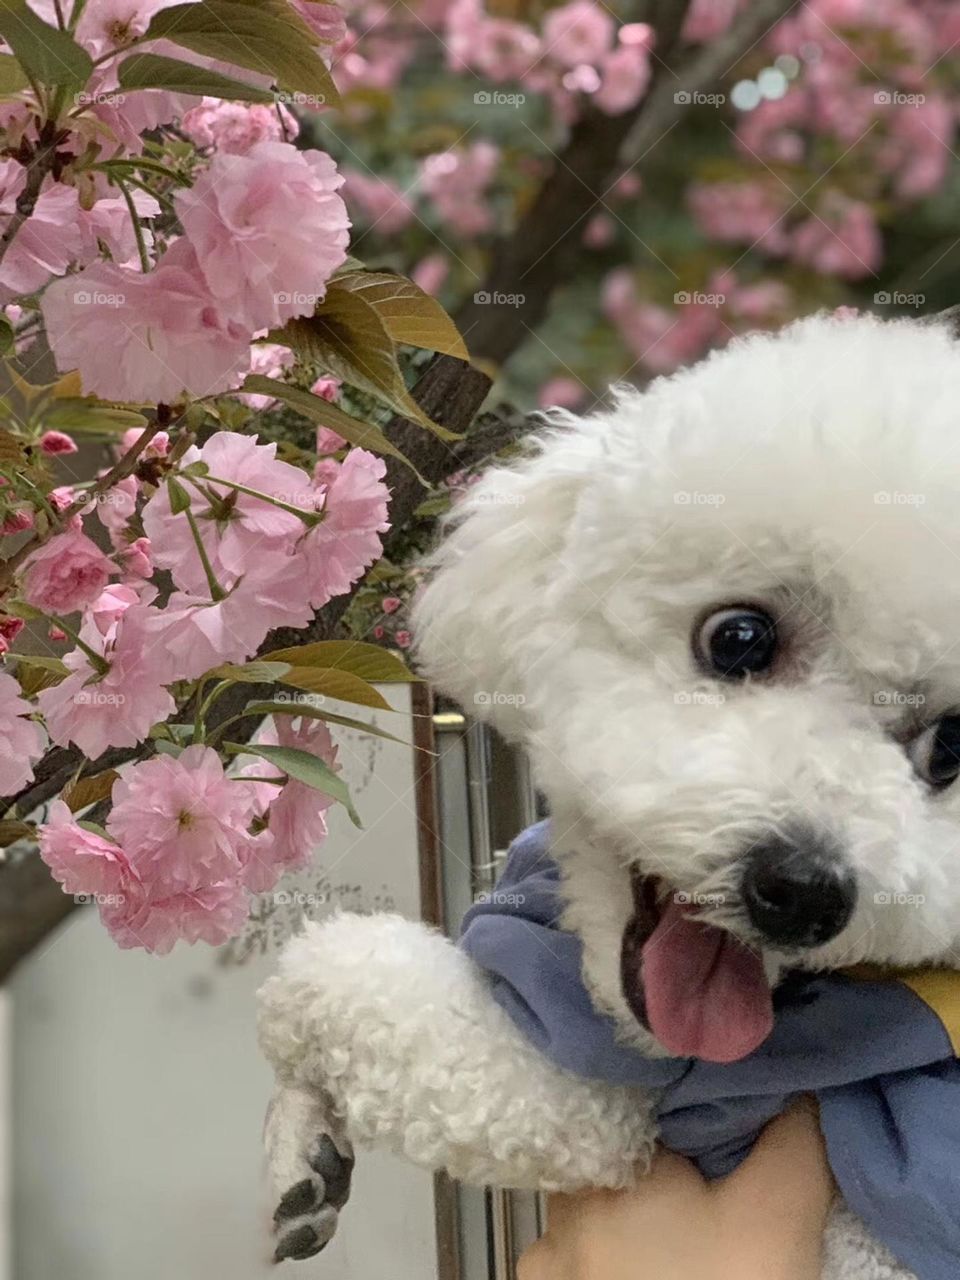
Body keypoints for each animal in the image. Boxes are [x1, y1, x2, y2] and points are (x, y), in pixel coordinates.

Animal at [257, 312, 960, 1280]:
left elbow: (331, 971)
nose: (803, 891)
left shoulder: (596, 1100)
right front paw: (305, 1153)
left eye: (952, 749)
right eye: (739, 638)